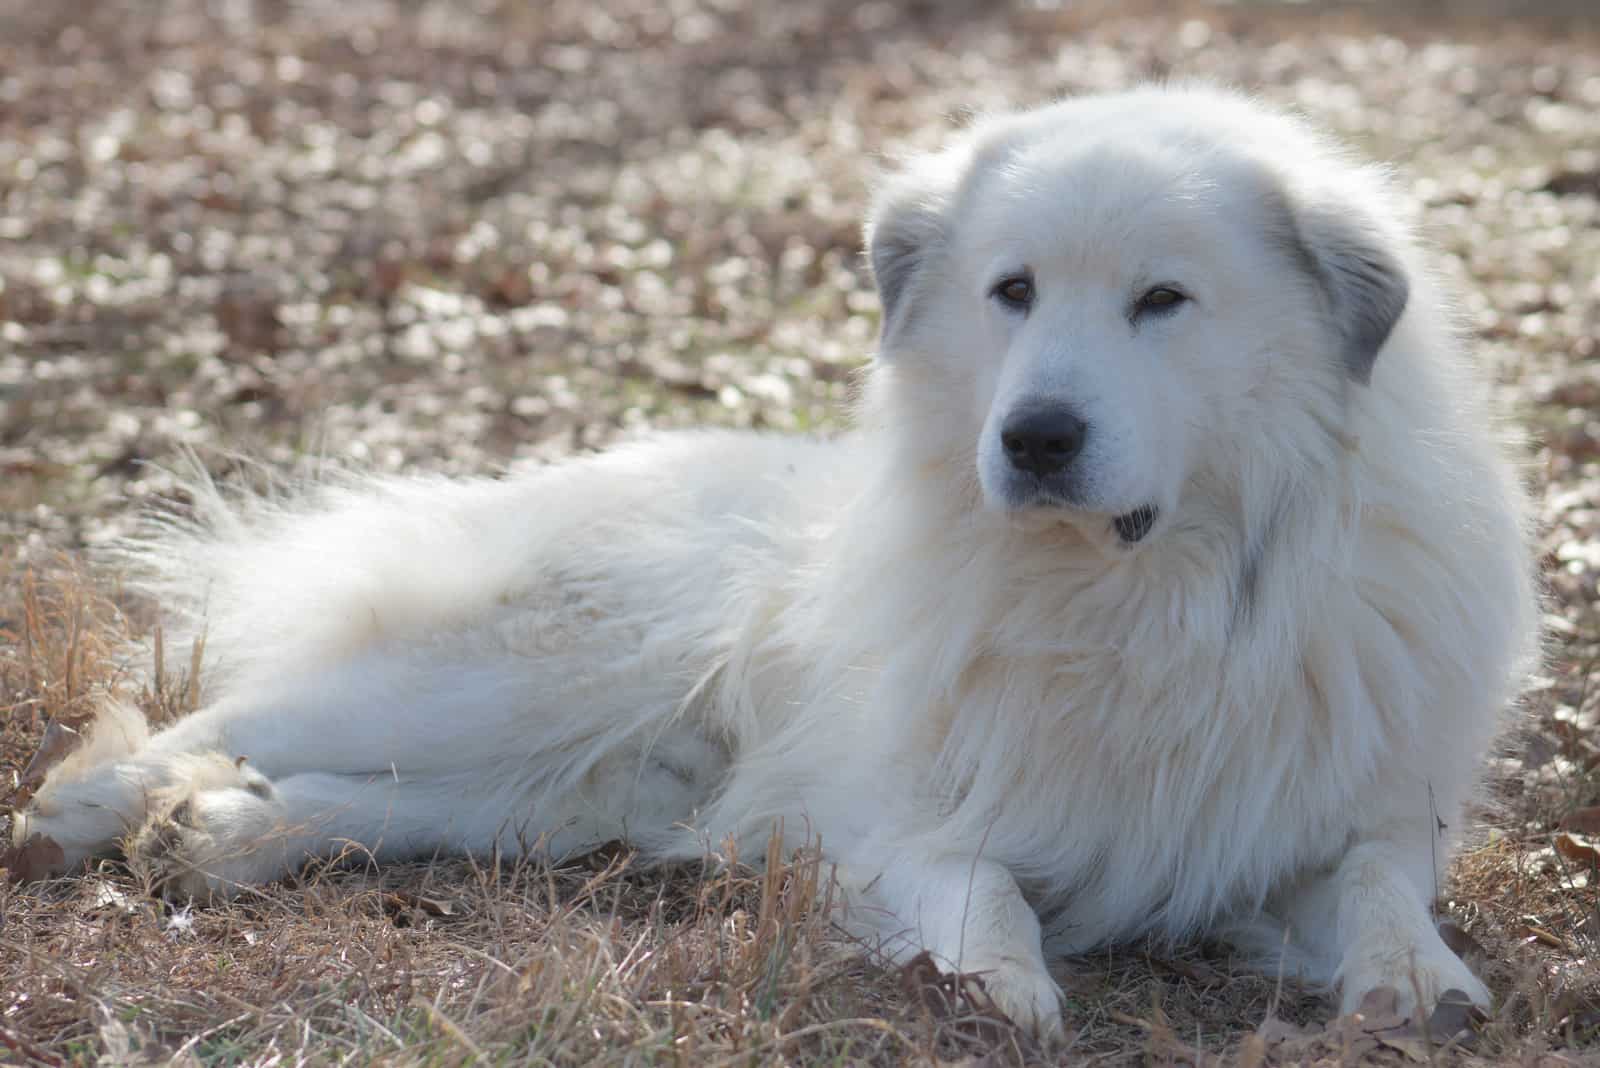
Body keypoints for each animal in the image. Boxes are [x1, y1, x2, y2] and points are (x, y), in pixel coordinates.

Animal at [12, 87, 1536, 1036]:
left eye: (1164, 301)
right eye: (1014, 293)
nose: (1035, 436)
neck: (1157, 597)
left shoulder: (1345, 819)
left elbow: (1379, 889)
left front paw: (1419, 984)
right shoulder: (903, 813)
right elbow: (977, 884)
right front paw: (990, 987)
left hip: (589, 784)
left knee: (379, 798)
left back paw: (228, 834)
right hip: (533, 676)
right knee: (228, 714)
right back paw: (92, 812)